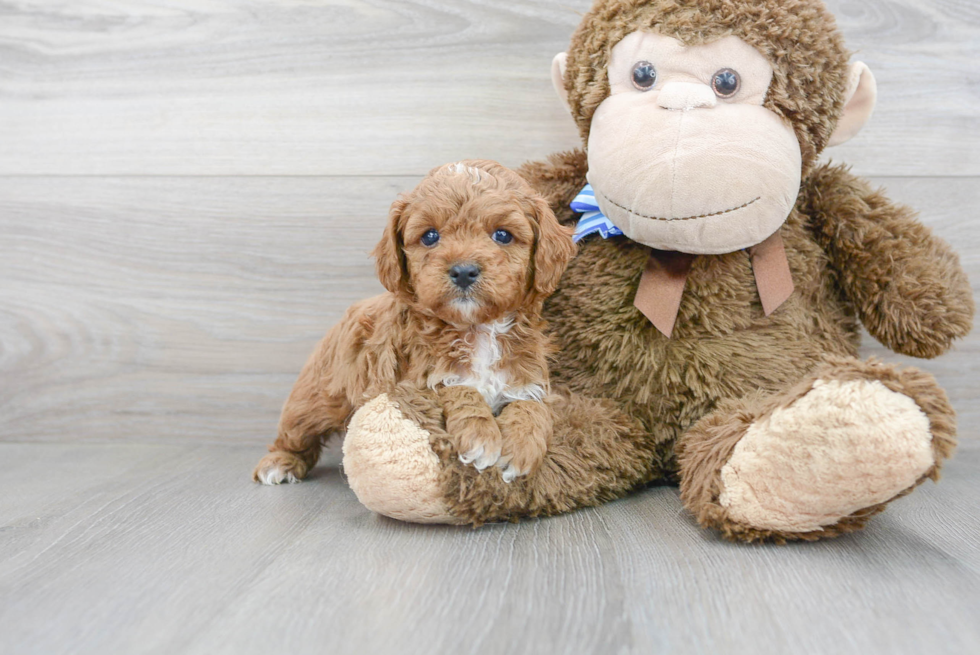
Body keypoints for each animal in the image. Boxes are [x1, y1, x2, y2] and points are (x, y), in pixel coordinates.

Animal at [251, 160, 576, 486]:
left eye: (503, 235)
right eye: (430, 236)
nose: (463, 271)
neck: (477, 329)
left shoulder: (530, 379)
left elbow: (531, 406)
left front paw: (519, 447)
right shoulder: (413, 382)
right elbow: (459, 389)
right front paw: (480, 437)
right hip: (317, 395)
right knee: (297, 428)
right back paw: (280, 462)